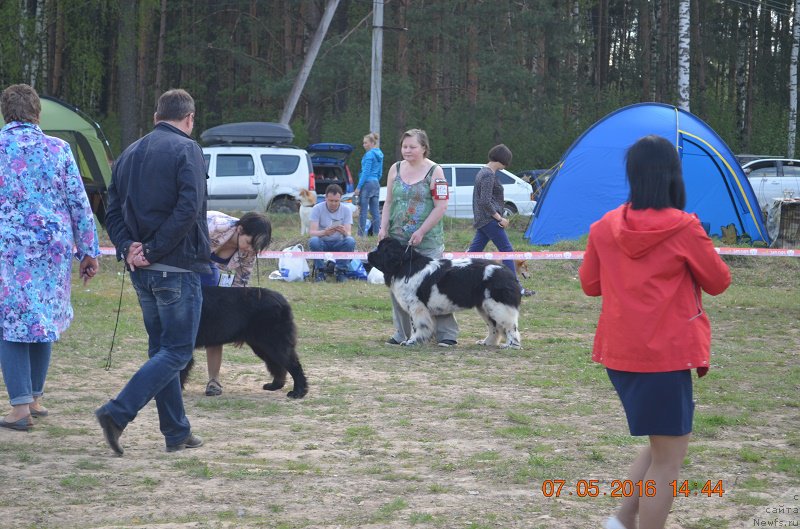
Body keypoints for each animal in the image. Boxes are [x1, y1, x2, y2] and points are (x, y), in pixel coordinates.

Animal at [181, 286, 310, 398]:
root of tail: (282, 300)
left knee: (294, 365)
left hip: (274, 343)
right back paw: (274, 385)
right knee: (277, 365)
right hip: (262, 346)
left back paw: (298, 392)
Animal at [366, 238, 520, 346]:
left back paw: (511, 345)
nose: (368, 254)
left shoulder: (417, 307)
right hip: (485, 307)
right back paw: (487, 342)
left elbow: (417, 326)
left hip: (498, 306)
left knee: (510, 325)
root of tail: (507, 272)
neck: (403, 265)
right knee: (494, 326)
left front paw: (412, 341)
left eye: (381, 250)